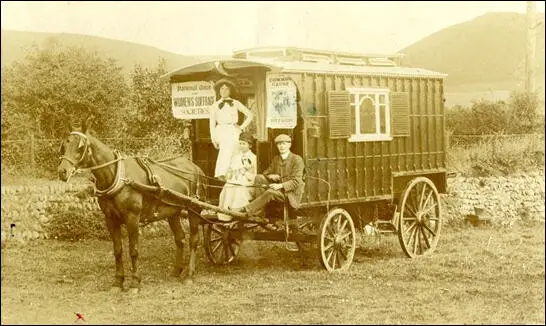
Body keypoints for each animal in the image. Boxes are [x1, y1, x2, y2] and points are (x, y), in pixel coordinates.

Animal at [56, 118, 206, 292]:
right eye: (64, 145)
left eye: (80, 147)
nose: (62, 171)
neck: (118, 176)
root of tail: (195, 167)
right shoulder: (110, 219)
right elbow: (118, 250)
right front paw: (118, 282)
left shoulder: (132, 218)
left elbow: (133, 250)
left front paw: (135, 282)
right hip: (172, 212)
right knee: (180, 238)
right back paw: (176, 271)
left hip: (194, 209)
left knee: (193, 240)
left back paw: (189, 274)